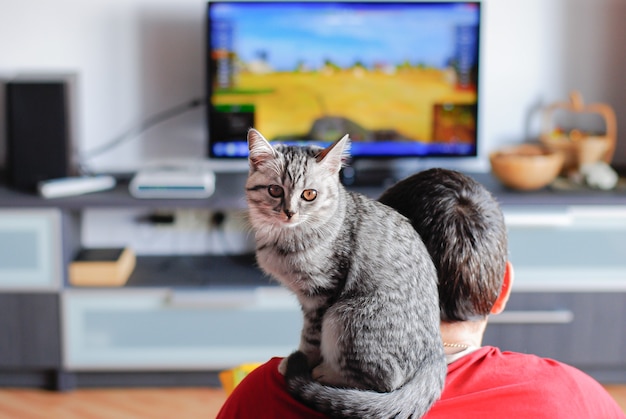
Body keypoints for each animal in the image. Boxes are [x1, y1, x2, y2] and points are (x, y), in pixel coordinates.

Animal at [244, 129, 444, 419]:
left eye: (309, 194)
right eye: (274, 190)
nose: (289, 212)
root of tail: (435, 352)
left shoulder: (323, 292)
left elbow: (310, 337)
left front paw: (301, 359)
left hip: (344, 316)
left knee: (384, 381)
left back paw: (325, 373)